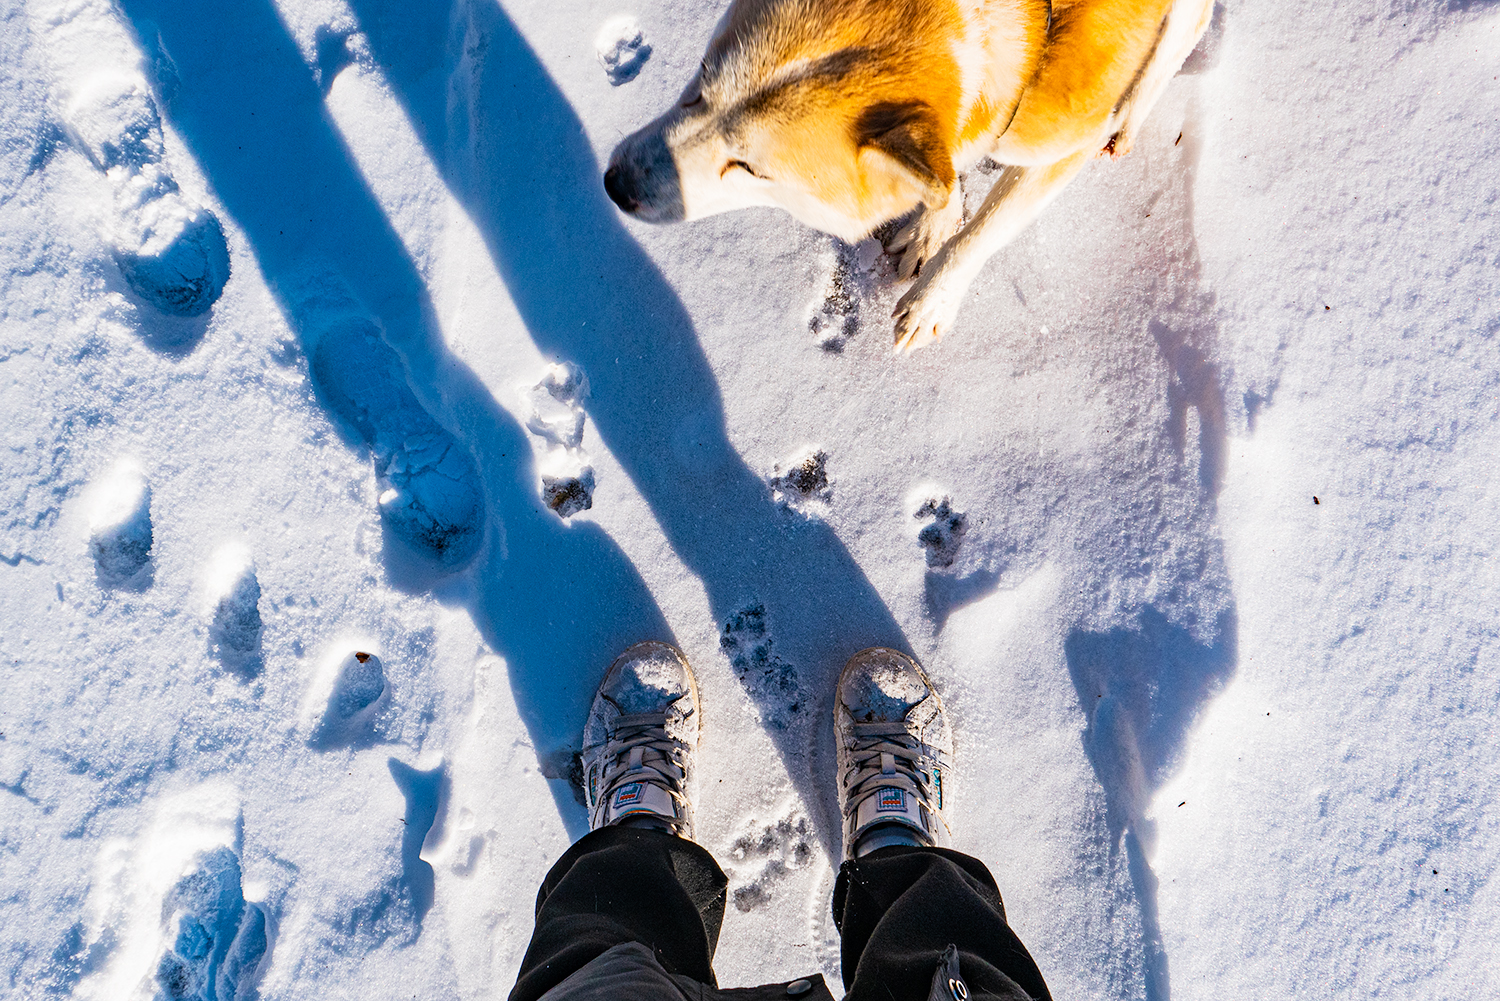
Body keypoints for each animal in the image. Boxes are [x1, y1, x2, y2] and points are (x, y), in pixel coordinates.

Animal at [603, 0, 1212, 352]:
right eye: (699, 83)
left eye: (750, 167)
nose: (613, 184)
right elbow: (943, 178)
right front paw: (931, 226)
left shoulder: (1062, 145)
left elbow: (984, 232)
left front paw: (932, 300)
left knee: (1193, 20)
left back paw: (1132, 109)